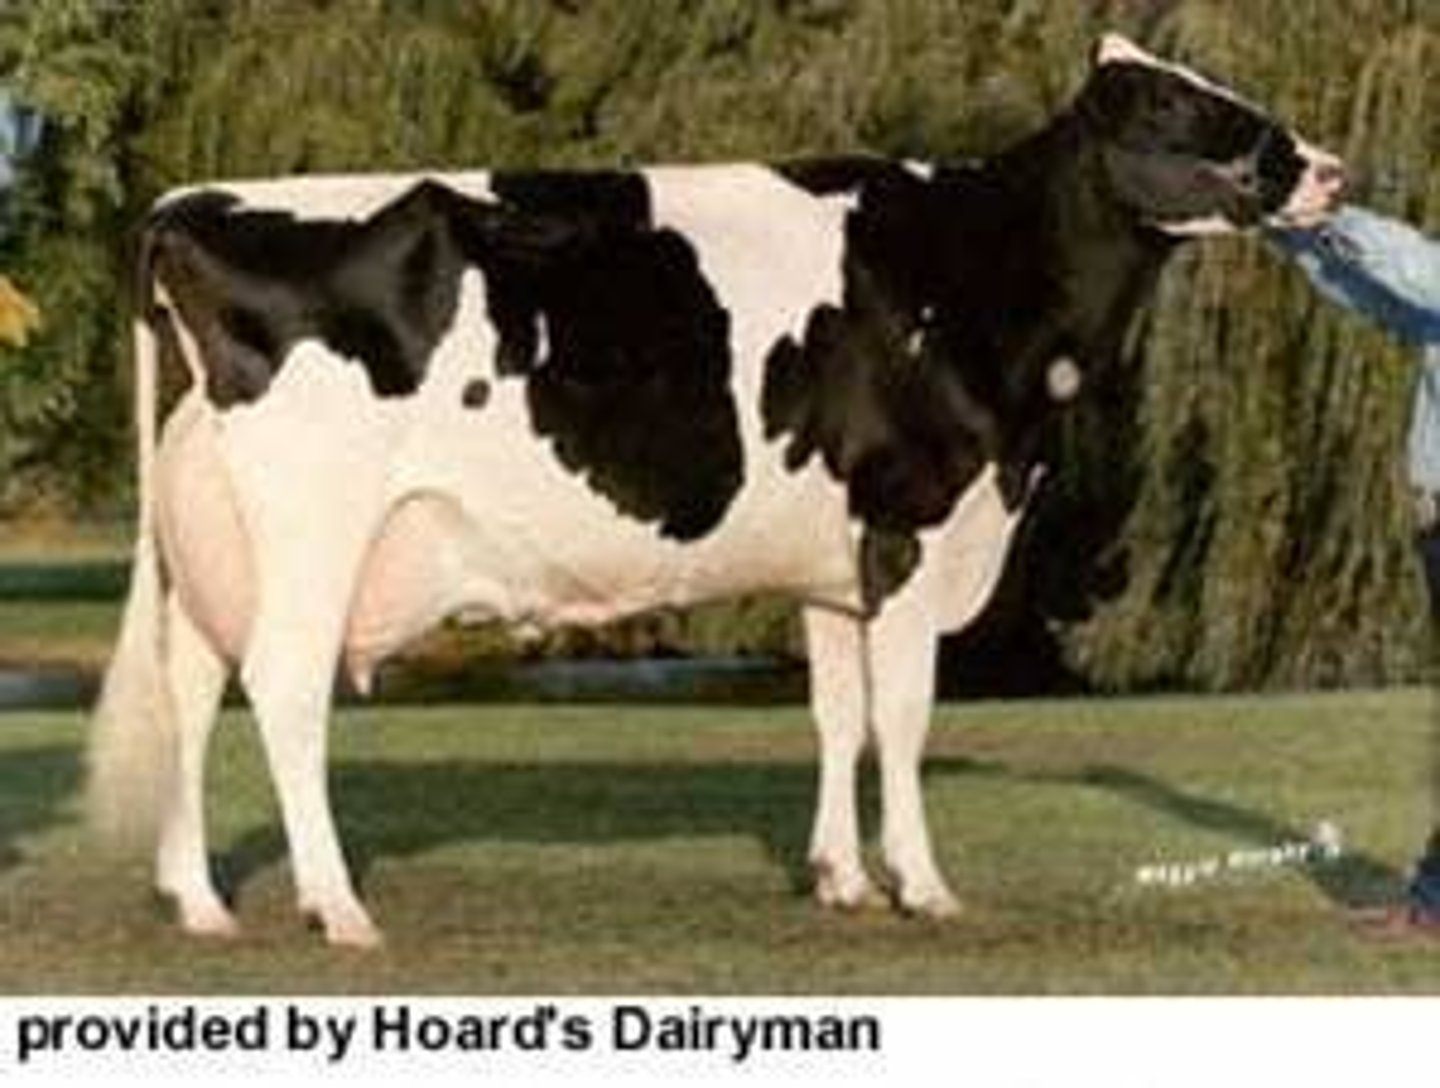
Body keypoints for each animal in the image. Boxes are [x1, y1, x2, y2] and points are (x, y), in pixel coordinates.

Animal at [89, 34, 1345, 947]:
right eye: (1181, 107)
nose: (1328, 168)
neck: (978, 271)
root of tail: (190, 204)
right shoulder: (911, 521)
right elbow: (903, 714)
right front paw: (924, 884)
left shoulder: (832, 559)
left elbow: (838, 712)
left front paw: (842, 876)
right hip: (313, 529)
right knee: (284, 689)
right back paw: (338, 905)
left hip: (212, 546)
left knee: (192, 685)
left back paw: (199, 900)